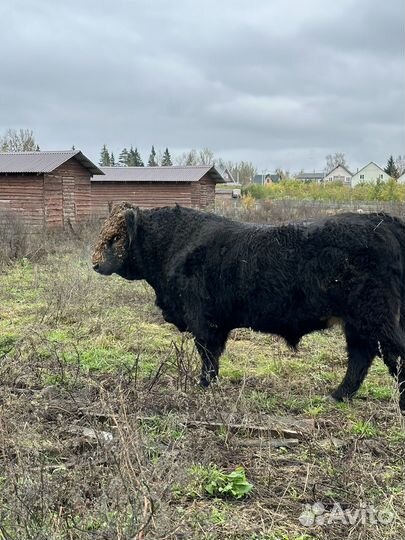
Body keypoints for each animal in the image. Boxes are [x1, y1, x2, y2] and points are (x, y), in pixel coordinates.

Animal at [90, 205, 404, 412]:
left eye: (115, 238)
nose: (94, 263)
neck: (174, 244)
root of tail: (381, 220)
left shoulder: (203, 321)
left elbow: (208, 357)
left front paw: (204, 385)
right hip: (359, 323)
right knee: (360, 357)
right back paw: (338, 394)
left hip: (376, 317)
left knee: (392, 355)